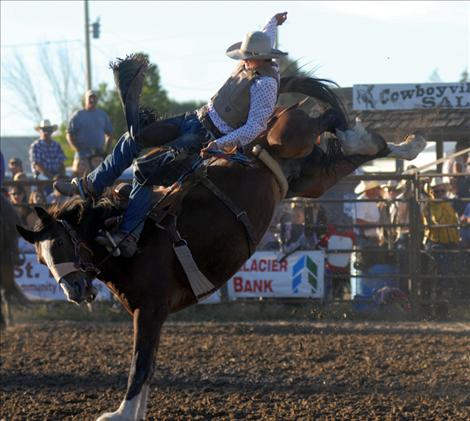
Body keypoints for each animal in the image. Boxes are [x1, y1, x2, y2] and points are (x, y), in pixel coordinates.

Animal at [16, 74, 426, 418]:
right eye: (40, 257)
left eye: (61, 244)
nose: (72, 289)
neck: (126, 238)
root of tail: (258, 131)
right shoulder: (152, 314)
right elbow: (146, 369)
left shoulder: (149, 310)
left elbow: (139, 366)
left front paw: (119, 414)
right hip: (310, 177)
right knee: (343, 150)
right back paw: (407, 145)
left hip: (291, 139)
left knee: (327, 119)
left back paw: (400, 141)